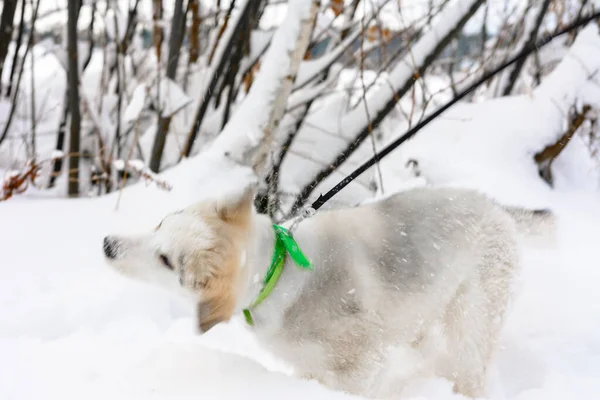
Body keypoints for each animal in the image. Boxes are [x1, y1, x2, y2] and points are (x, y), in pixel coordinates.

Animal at [102, 184, 552, 396]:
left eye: (167, 261)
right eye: (162, 222)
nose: (108, 245)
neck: (277, 273)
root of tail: (496, 207)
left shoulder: (358, 369)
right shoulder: (309, 368)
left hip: (472, 319)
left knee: (470, 365)